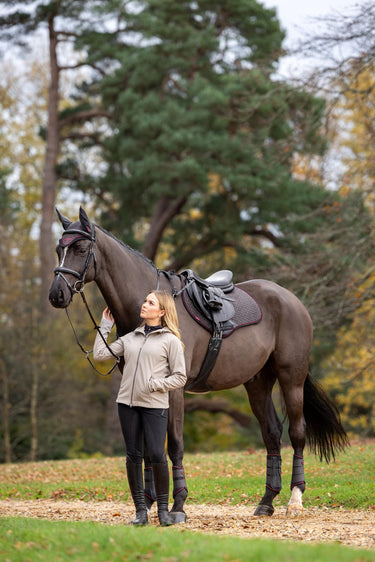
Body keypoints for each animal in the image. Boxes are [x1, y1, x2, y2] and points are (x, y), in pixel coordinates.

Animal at [48, 207, 348, 516]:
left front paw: (178, 503)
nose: (56, 294)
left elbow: (174, 445)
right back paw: (266, 501)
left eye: (81, 249)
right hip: (257, 383)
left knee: (297, 433)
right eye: (59, 248)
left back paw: (295, 499)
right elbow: (147, 448)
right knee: (272, 434)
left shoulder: (175, 390)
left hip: (292, 378)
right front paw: (151, 501)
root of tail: (291, 299)